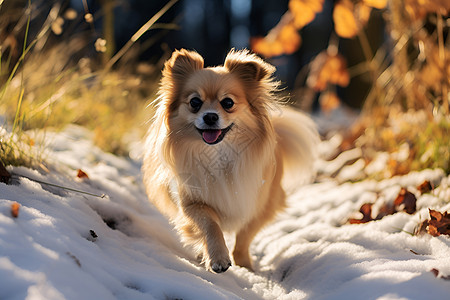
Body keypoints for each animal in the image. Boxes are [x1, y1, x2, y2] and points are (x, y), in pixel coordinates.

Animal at [142, 48, 318, 272]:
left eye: (228, 103)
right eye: (195, 103)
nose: (210, 116)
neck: (219, 154)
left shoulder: (261, 205)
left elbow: (245, 235)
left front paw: (245, 265)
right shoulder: (192, 202)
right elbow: (211, 225)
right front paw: (218, 257)